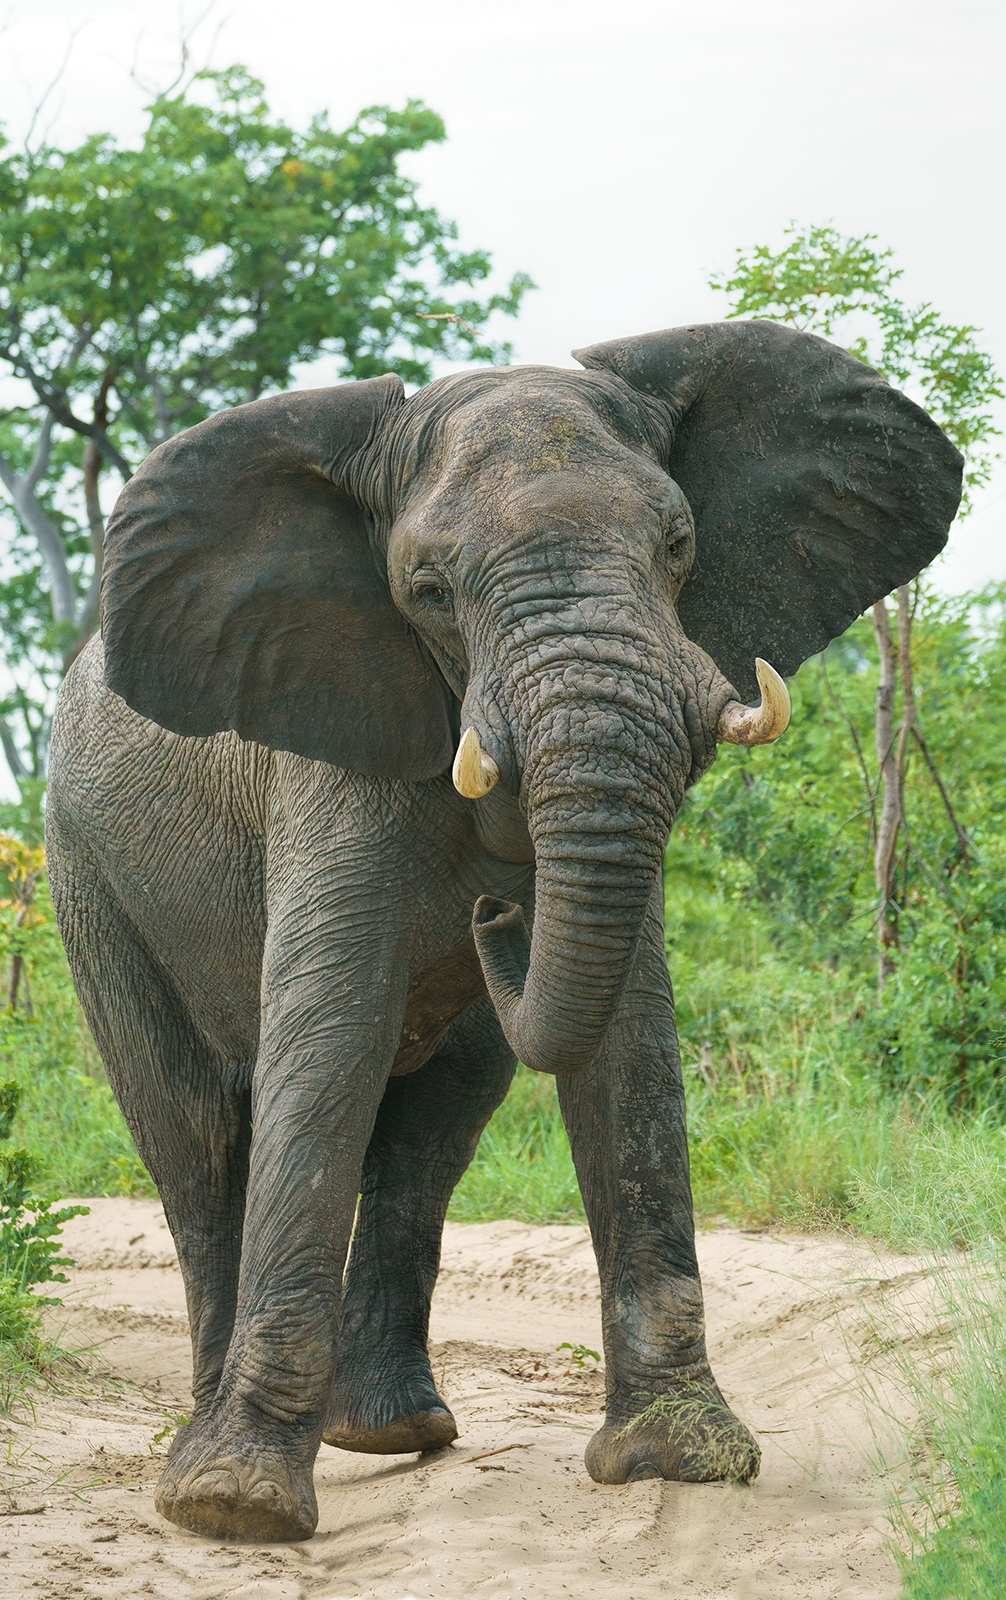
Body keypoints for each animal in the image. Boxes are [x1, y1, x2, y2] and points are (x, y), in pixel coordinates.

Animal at [46, 319, 961, 1543]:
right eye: (427, 587)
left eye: (679, 544)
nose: (493, 912)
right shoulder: (324, 753)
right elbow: (328, 1040)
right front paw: (237, 1509)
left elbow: (627, 1039)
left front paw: (681, 1459)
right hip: (86, 876)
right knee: (192, 1133)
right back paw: (215, 1446)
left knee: (434, 1125)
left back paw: (395, 1434)